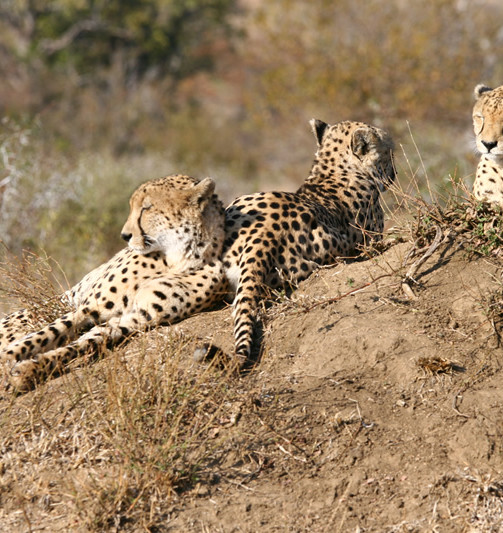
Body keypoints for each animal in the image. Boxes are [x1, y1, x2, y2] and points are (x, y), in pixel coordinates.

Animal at [0, 175, 226, 390]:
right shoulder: (90, 308)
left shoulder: (137, 317)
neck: (177, 258)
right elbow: (47, 333)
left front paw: (28, 370)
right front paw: (9, 358)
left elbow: (83, 343)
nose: (125, 235)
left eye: (147, 207)